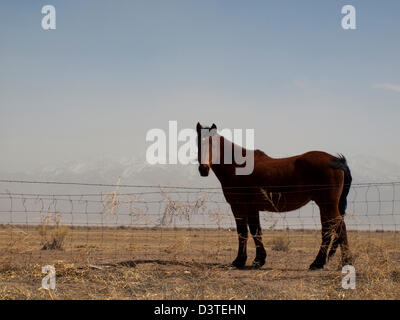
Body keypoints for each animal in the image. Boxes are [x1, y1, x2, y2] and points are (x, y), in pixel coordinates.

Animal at [197, 123, 354, 270]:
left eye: (213, 144)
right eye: (198, 143)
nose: (203, 169)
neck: (239, 167)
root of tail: (336, 160)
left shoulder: (238, 207)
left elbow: (243, 232)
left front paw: (239, 261)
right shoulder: (252, 209)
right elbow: (256, 231)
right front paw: (258, 260)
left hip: (328, 205)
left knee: (340, 227)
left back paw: (346, 262)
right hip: (324, 205)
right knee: (327, 229)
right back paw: (318, 263)